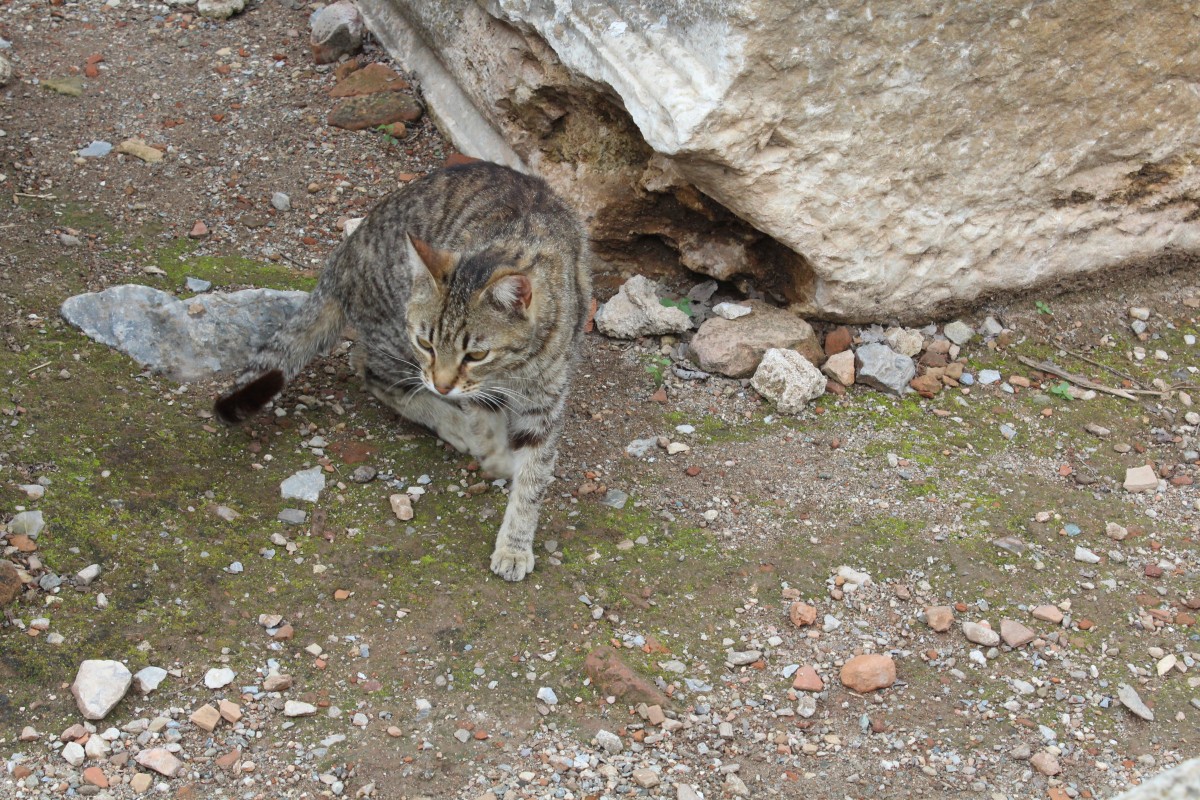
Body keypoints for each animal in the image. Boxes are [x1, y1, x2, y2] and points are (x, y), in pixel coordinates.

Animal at [218, 160, 592, 582]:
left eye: (475, 354)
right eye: (427, 344)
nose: (443, 385)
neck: (512, 368)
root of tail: (342, 256)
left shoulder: (544, 399)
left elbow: (533, 477)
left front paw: (515, 544)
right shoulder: (469, 387)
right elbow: (485, 423)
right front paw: (493, 454)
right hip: (393, 333)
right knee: (370, 371)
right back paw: (452, 424)